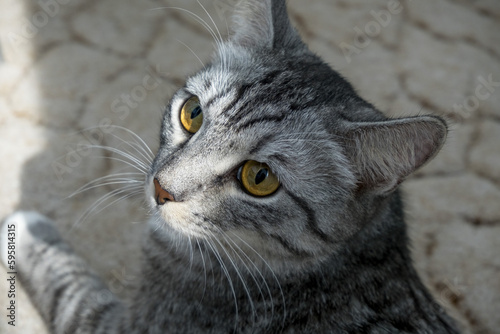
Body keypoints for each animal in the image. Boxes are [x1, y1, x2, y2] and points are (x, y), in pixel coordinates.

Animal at [0, 0, 460, 334]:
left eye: (259, 178)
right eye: (192, 113)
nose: (161, 189)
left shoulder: (122, 325)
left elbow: (71, 287)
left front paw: (27, 228)